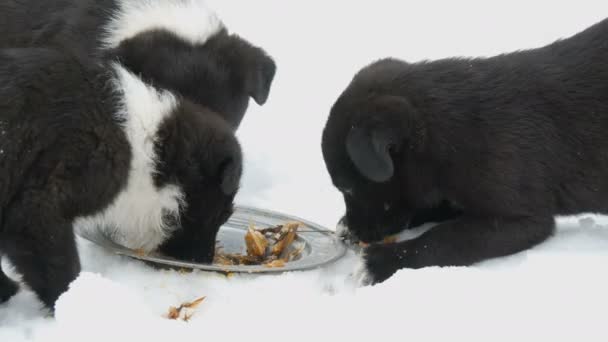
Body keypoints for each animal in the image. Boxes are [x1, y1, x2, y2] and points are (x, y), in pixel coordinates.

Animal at [0, 46, 242, 308]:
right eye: (224, 214)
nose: (205, 262)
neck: (151, 147)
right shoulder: (39, 207)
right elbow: (60, 267)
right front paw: (72, 303)